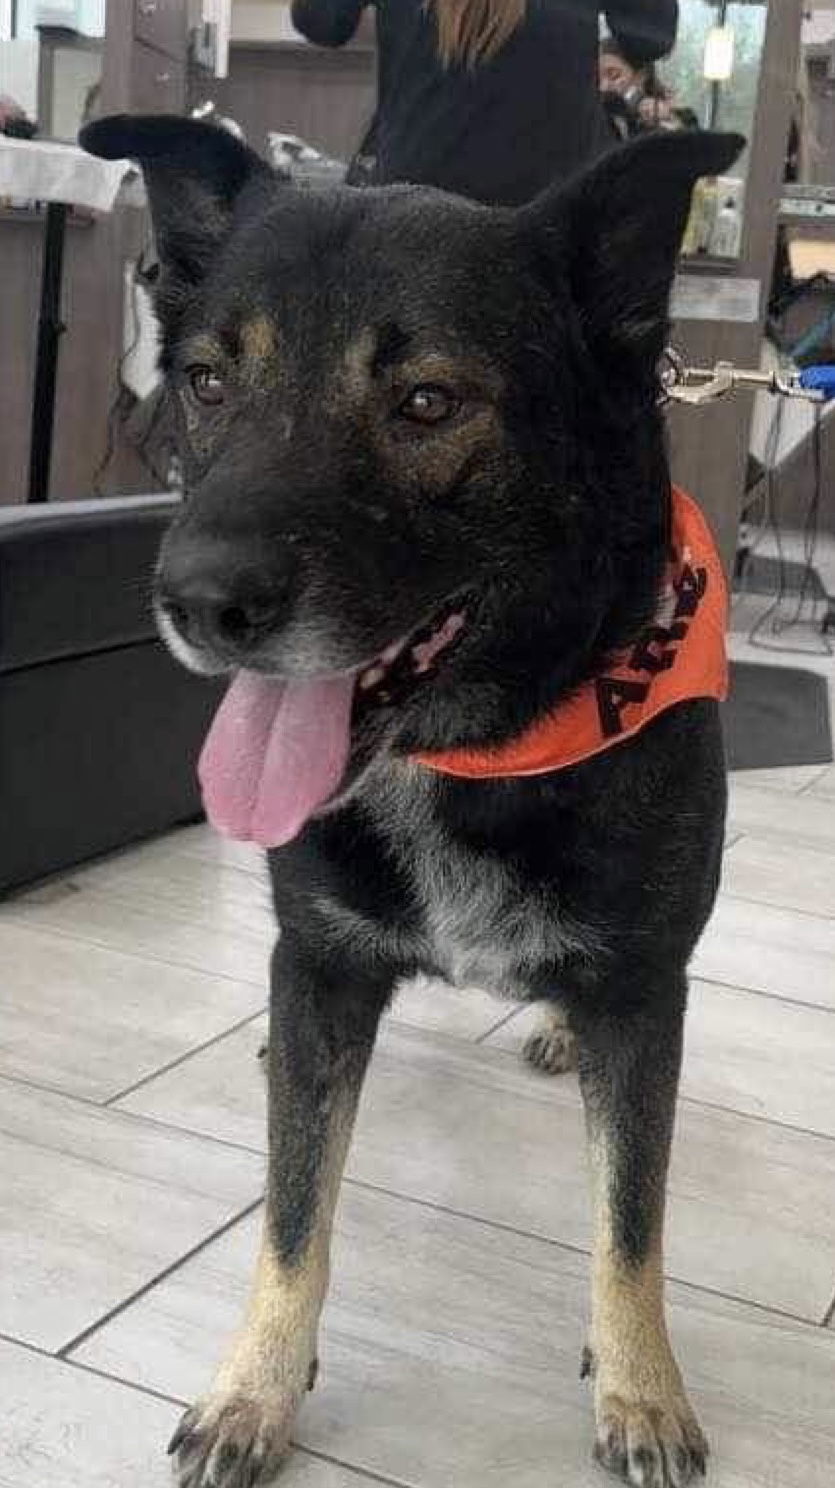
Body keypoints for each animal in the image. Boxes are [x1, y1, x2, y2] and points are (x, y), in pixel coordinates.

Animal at [81, 113, 738, 1488]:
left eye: (428, 402)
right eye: (207, 381)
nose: (195, 603)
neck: (469, 756)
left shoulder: (643, 991)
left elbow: (631, 1218)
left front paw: (643, 1390)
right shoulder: (324, 964)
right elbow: (291, 1210)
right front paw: (254, 1389)